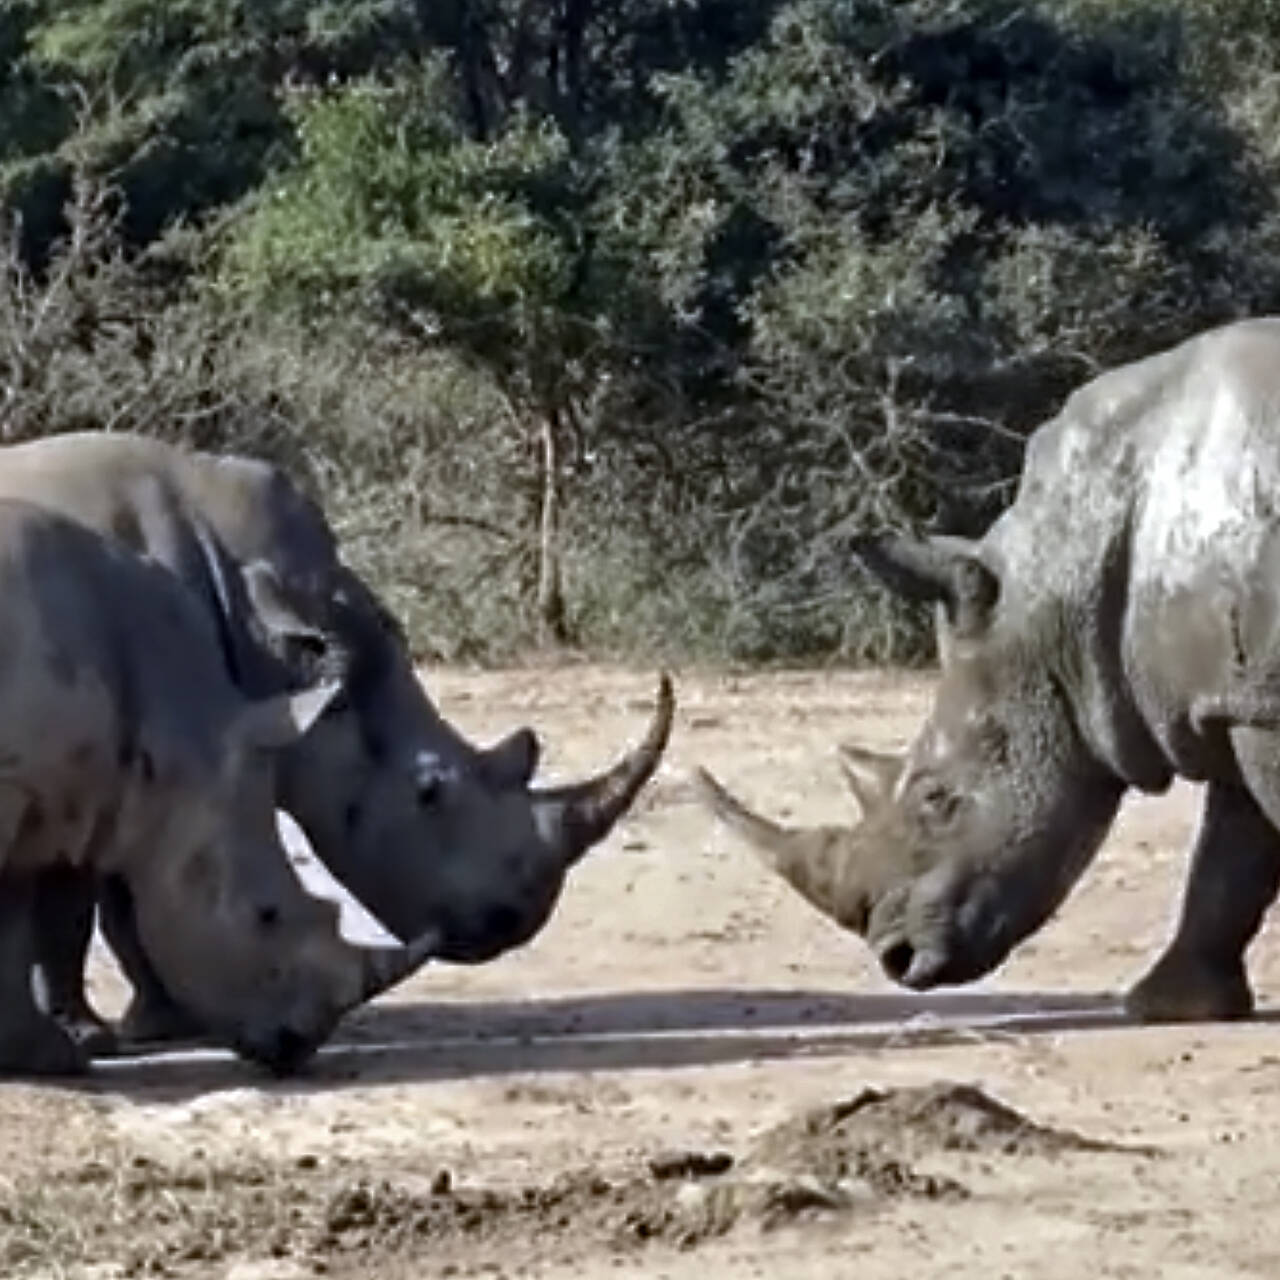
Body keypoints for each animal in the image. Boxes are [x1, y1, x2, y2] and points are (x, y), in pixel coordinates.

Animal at [701, 317, 1280, 1018]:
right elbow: (1232, 855)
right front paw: (1165, 1006)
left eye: (937, 800)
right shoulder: (1235, 695)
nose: (898, 960)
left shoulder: (1256, 702)